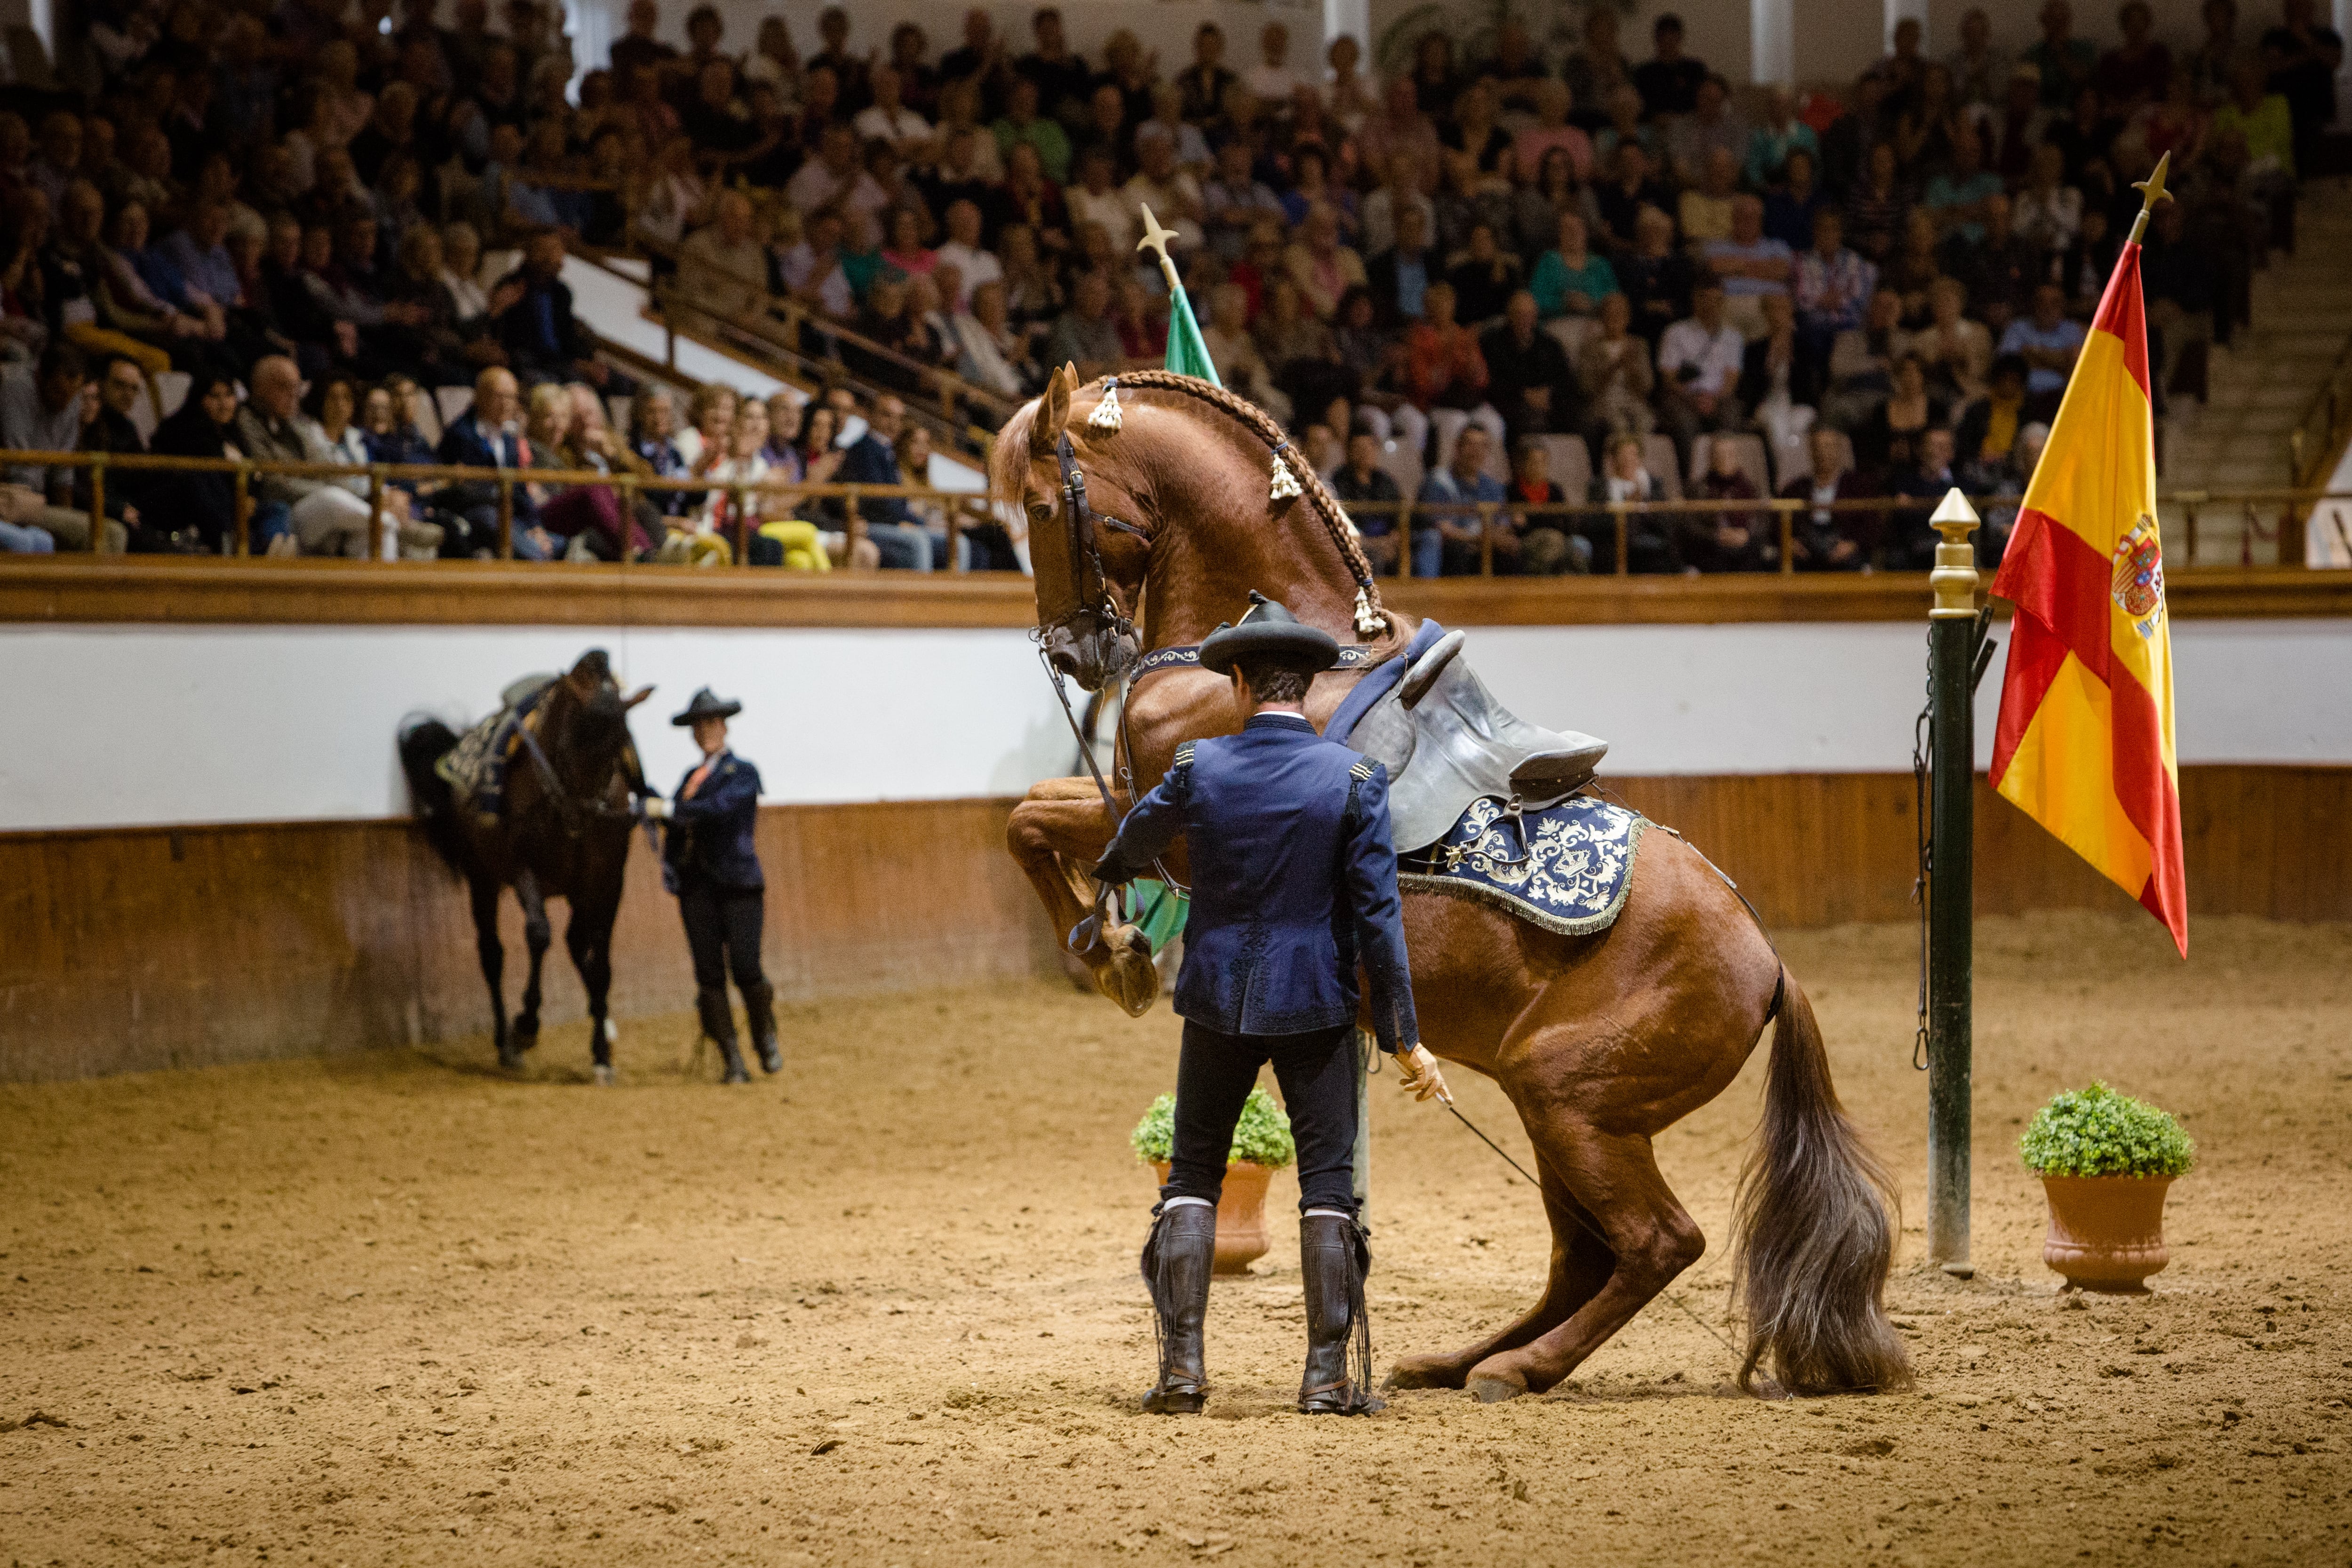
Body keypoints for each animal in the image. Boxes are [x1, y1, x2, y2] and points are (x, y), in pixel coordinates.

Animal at [397, 649, 649, 1081]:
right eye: (572, 737)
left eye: (621, 744)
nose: (583, 815)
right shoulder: (521, 870)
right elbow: (538, 935)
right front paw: (527, 1025)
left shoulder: (607, 881)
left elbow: (600, 962)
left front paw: (602, 1052)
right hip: (484, 880)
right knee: (494, 954)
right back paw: (506, 1042)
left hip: (576, 890)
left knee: (576, 943)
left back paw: (602, 1025)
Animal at [993, 371, 1910, 1401]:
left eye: (1039, 506)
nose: (1072, 653)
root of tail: (1772, 964)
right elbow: (1033, 811)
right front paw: (1111, 942)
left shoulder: (1169, 825)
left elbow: (1035, 824)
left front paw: (1115, 952)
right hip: (1552, 1111)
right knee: (1582, 1256)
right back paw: (1460, 1360)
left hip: (1570, 1102)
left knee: (1657, 1241)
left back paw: (1517, 1366)